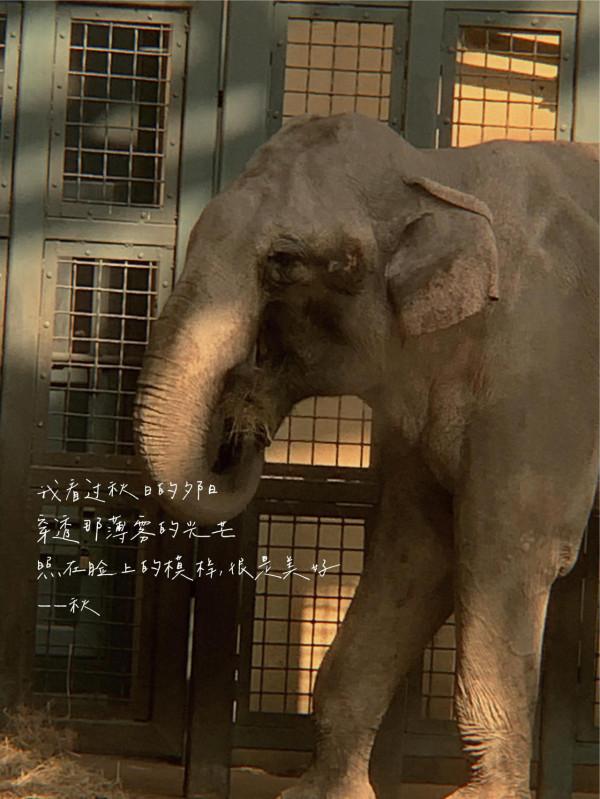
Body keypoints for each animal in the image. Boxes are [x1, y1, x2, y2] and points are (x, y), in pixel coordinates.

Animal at [133, 113, 599, 799]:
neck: (441, 171)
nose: (244, 411)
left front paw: (480, 798)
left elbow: (511, 549)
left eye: (284, 263)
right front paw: (319, 793)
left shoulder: (546, 367)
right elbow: (416, 550)